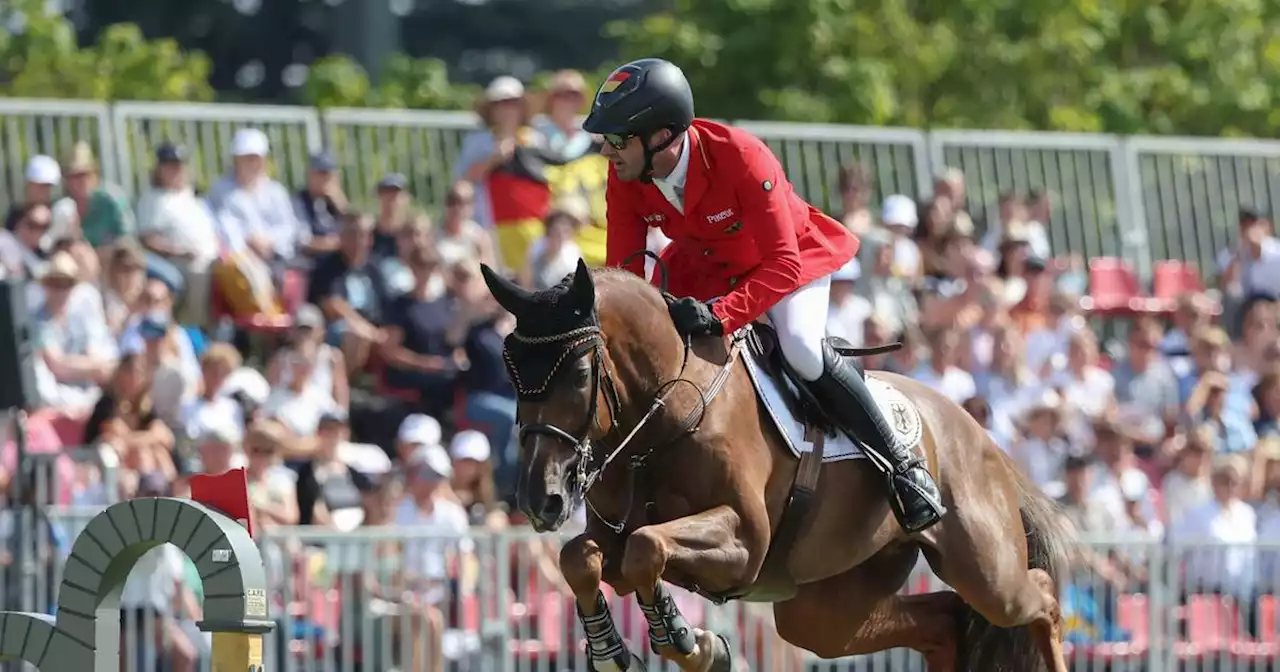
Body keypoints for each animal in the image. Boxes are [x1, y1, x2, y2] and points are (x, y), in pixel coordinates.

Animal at [483, 258, 1075, 670]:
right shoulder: (612, 535)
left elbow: (646, 547)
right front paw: (613, 650)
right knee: (943, 623)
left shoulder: (744, 541)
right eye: (510, 374)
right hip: (824, 612)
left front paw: (689, 642)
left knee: (1039, 597)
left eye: (580, 375)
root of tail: (980, 435)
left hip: (984, 569)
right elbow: (581, 558)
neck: (664, 414)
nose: (539, 499)